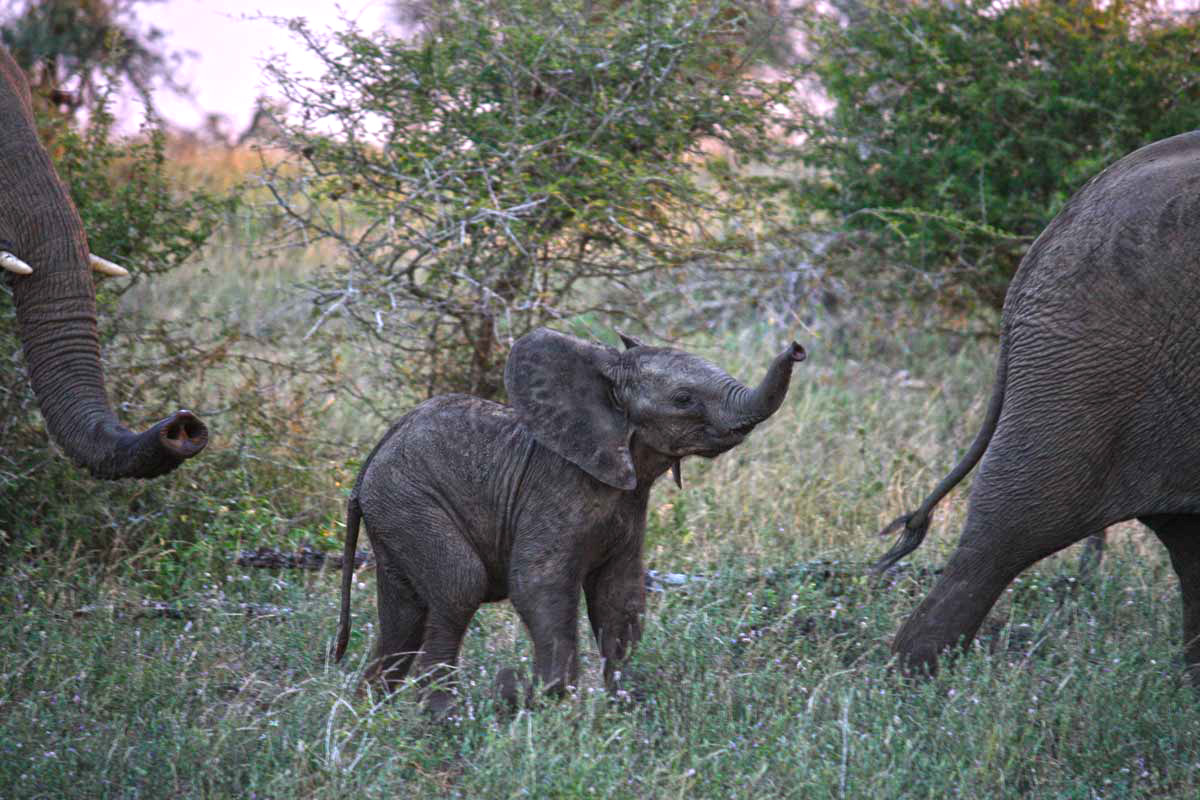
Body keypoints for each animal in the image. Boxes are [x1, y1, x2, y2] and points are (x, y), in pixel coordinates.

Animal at [336, 326, 806, 714]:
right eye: (683, 399)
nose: (798, 348)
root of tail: (368, 464)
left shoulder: (628, 510)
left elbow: (621, 598)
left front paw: (623, 708)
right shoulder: (554, 492)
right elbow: (539, 585)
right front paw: (542, 705)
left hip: (394, 513)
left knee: (404, 612)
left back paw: (367, 714)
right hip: (409, 500)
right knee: (458, 585)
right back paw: (442, 719)